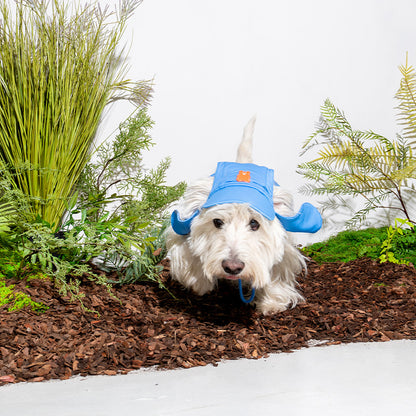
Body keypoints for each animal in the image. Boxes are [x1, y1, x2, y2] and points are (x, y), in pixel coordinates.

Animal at [164, 117, 320, 316]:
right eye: (217, 222)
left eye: (254, 223)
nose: (232, 267)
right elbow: (189, 257)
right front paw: (200, 283)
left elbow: (276, 271)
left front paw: (271, 303)